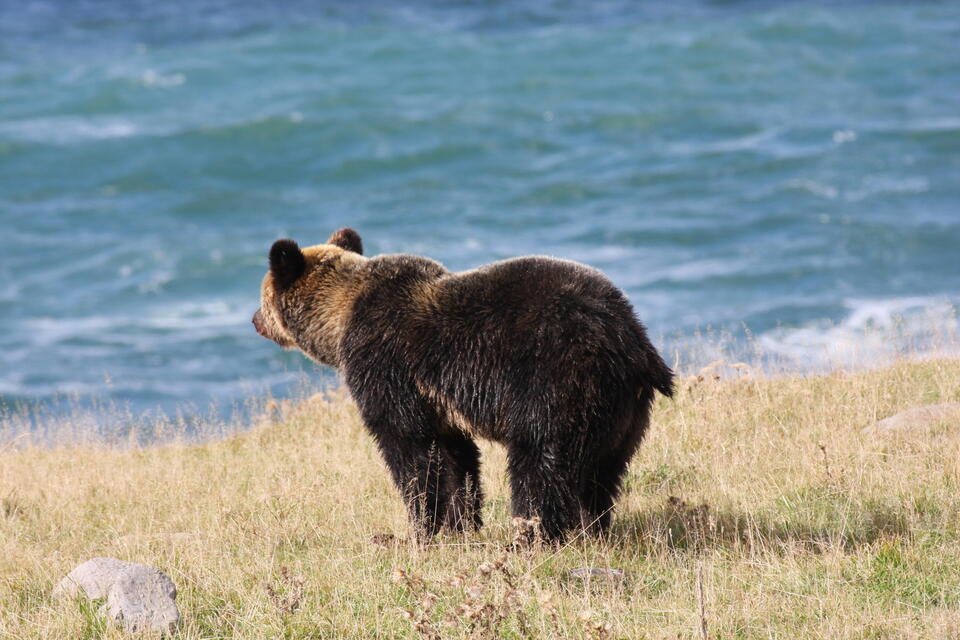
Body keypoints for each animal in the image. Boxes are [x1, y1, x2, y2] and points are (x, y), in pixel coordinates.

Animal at [255, 228, 676, 544]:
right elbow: (455, 457)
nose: (255, 319)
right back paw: (592, 528)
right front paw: (461, 524)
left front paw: (417, 531)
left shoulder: (386, 366)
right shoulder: (440, 402)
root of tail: (632, 339)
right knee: (603, 471)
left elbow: (408, 451)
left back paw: (531, 536)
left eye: (262, 295)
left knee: (540, 463)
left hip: (556, 381)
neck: (342, 318)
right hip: (623, 409)